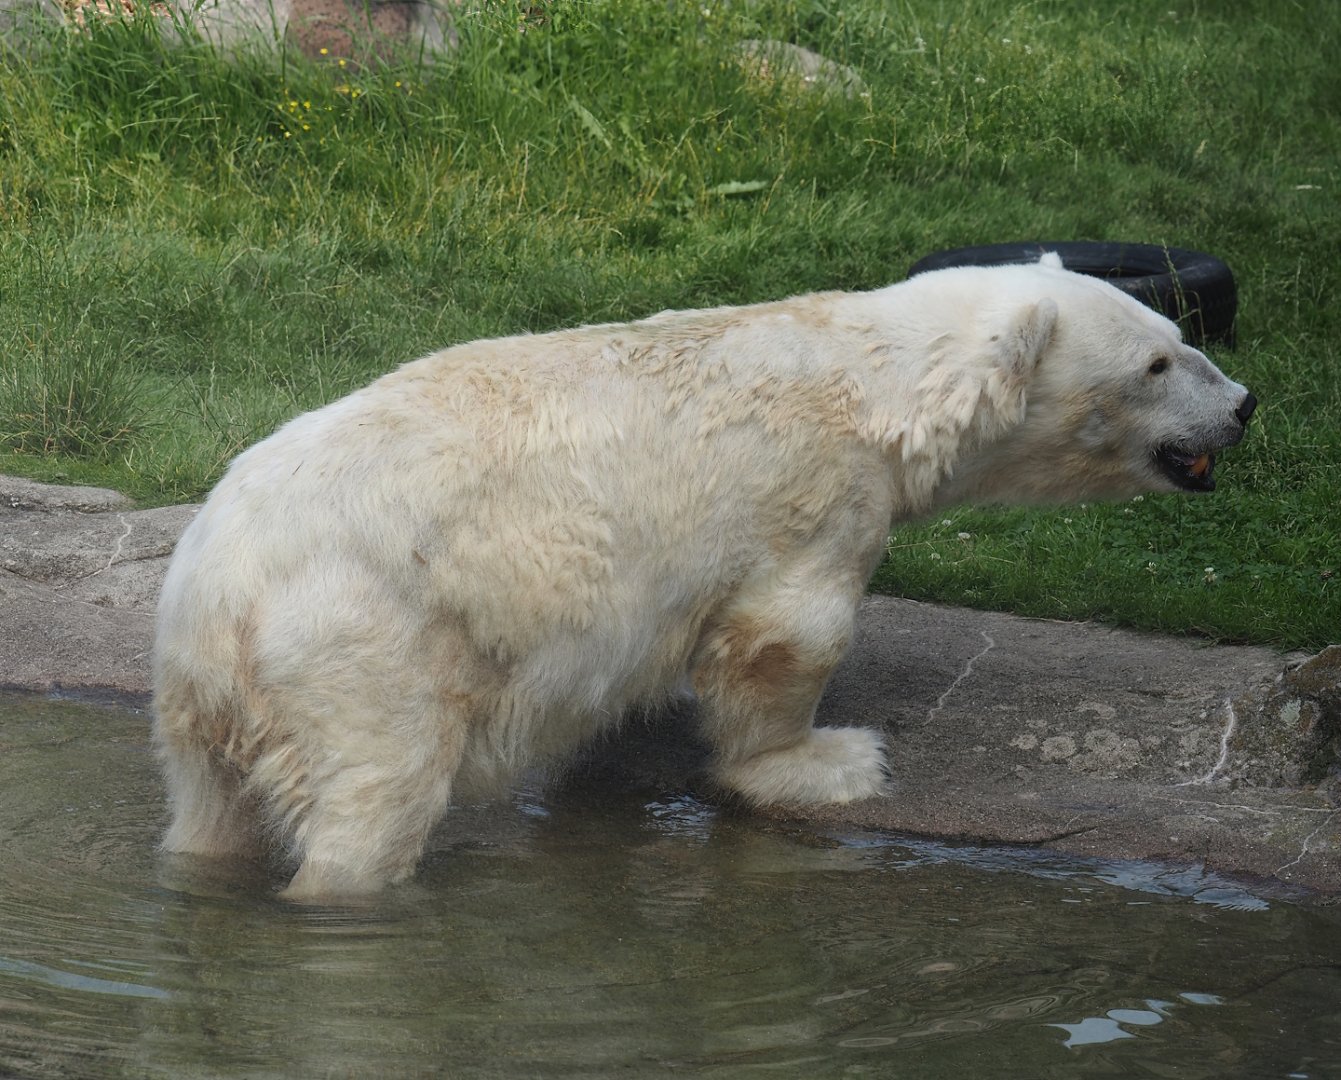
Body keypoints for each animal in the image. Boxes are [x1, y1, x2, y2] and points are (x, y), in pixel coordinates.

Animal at [152, 254, 1256, 899]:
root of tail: (218, 591)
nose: (1243, 405)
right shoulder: (810, 494)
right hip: (364, 641)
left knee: (211, 809)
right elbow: (784, 637)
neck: (878, 381)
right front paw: (832, 760)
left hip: (204, 703)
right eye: (1157, 364)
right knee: (373, 795)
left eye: (1179, 339)